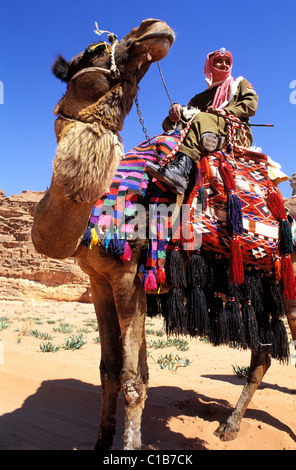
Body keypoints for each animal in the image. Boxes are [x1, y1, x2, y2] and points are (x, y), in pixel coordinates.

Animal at [31, 19, 294, 452]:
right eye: (94, 49)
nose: (154, 28)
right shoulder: (99, 280)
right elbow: (109, 370)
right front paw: (102, 443)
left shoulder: (130, 276)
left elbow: (133, 380)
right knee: (262, 355)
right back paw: (229, 426)